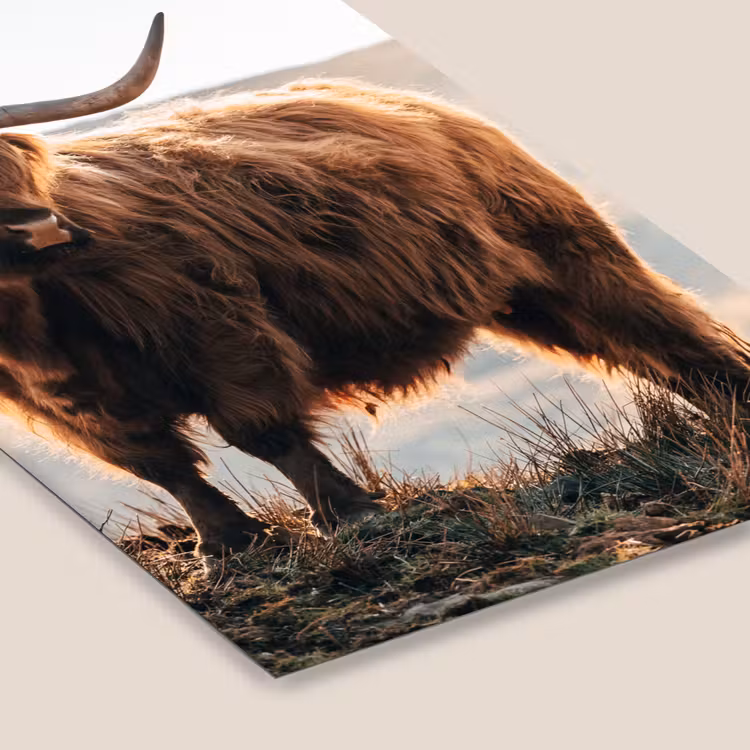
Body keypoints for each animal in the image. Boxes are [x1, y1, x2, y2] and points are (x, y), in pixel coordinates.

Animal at [1, 13, 749, 558]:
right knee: (636, 350)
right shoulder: (79, 415)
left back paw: (733, 408)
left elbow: (263, 432)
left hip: (568, 253)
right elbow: (164, 467)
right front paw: (227, 546)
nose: (34, 232)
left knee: (662, 330)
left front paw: (350, 512)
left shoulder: (219, 334)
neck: (40, 336)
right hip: (527, 299)